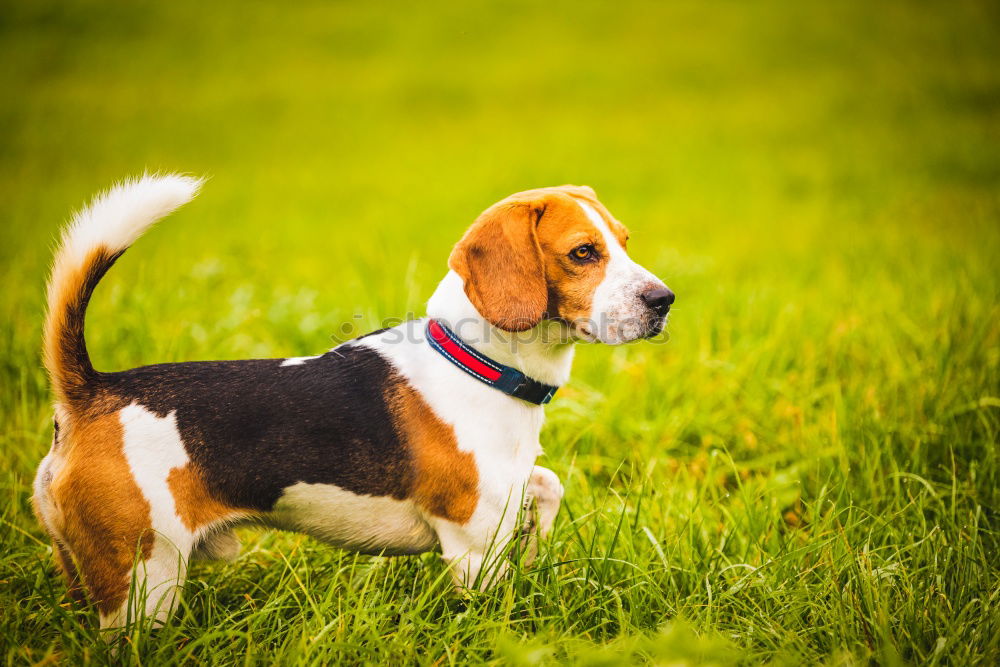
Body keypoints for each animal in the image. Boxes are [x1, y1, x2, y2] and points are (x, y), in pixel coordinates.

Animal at [33, 176, 672, 632]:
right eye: (584, 252)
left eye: (624, 242)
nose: (665, 300)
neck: (478, 364)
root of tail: (93, 391)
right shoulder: (472, 544)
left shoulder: (512, 488)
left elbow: (546, 486)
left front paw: (537, 549)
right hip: (146, 578)